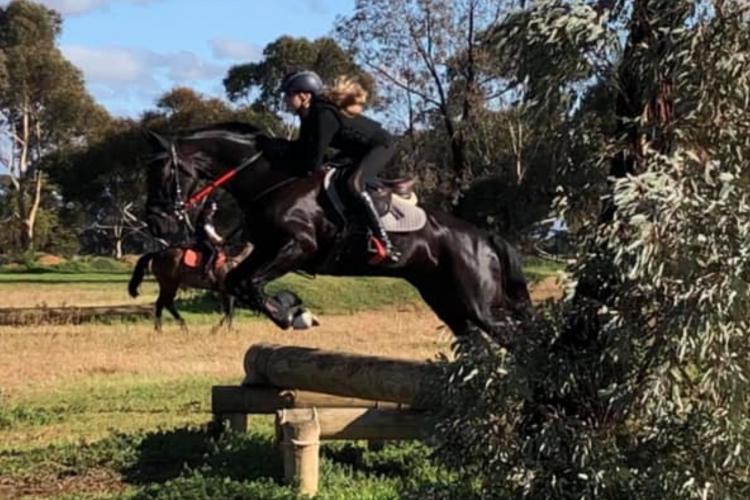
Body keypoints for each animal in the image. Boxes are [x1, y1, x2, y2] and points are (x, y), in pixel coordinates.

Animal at [144, 122, 532, 340]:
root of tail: (483, 238)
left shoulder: (297, 246)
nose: (157, 225)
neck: (273, 180)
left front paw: (292, 314)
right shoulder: (266, 249)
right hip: (446, 301)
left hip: (479, 303)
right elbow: (238, 282)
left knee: (514, 334)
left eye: (163, 174)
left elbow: (249, 284)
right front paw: (292, 309)